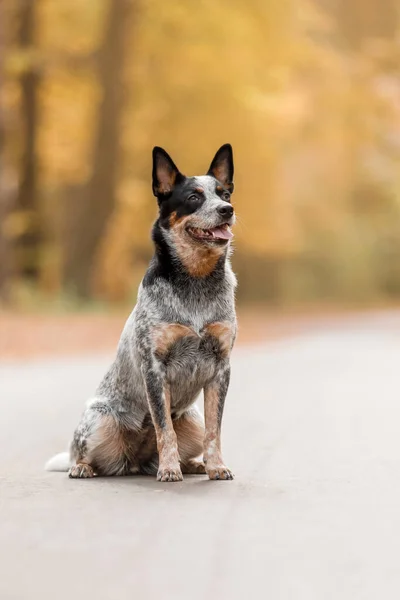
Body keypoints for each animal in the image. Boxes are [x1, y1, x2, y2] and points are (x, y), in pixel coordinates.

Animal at [45, 143, 236, 480]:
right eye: (193, 197)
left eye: (224, 193)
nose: (228, 210)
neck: (196, 281)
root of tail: (134, 462)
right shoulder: (154, 367)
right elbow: (164, 428)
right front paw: (169, 470)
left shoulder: (221, 368)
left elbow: (214, 430)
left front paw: (216, 467)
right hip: (98, 418)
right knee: (80, 453)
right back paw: (84, 467)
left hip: (191, 417)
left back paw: (192, 464)